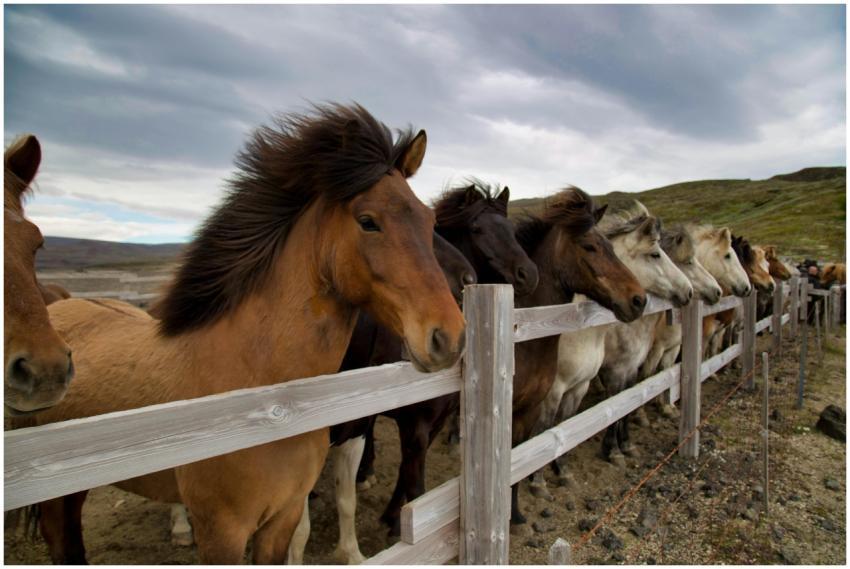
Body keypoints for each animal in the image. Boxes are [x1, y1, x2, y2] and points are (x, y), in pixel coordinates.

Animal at [30, 103, 466, 564]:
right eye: (368, 222)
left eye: (430, 221)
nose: (449, 336)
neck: (264, 401)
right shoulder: (223, 532)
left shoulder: (282, 516)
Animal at [510, 186, 647, 524]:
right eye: (589, 246)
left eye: (610, 245)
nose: (639, 300)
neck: (522, 336)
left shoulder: (529, 409)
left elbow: (519, 460)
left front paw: (516, 515)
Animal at [528, 212, 702, 500]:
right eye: (656, 254)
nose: (688, 292)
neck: (581, 329)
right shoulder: (560, 388)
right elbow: (547, 427)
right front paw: (538, 480)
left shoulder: (605, 377)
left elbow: (615, 408)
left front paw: (620, 447)